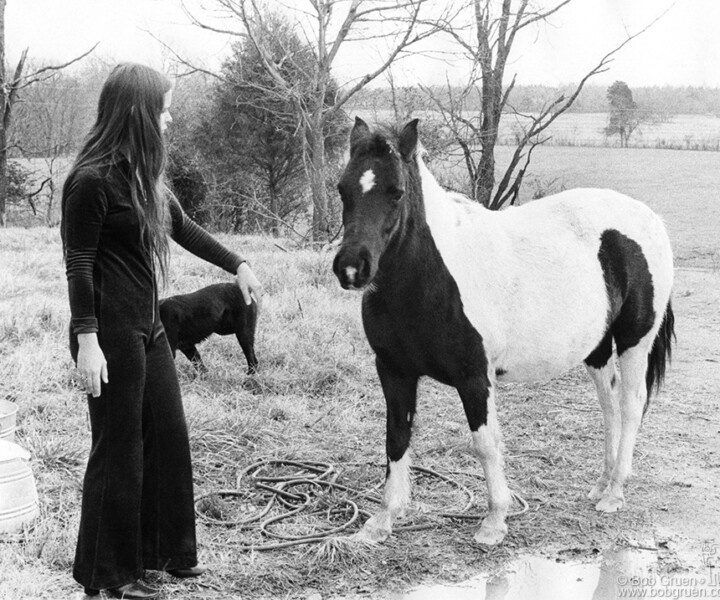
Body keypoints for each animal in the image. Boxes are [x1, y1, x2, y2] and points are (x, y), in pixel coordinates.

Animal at [332, 116, 676, 544]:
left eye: (396, 192)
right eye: (342, 189)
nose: (351, 268)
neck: (432, 275)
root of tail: (649, 218)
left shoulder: (475, 377)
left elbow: (485, 443)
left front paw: (495, 520)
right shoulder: (393, 371)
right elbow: (396, 438)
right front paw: (381, 522)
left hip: (634, 342)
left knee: (630, 406)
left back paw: (614, 492)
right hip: (596, 348)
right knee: (609, 406)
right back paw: (601, 484)